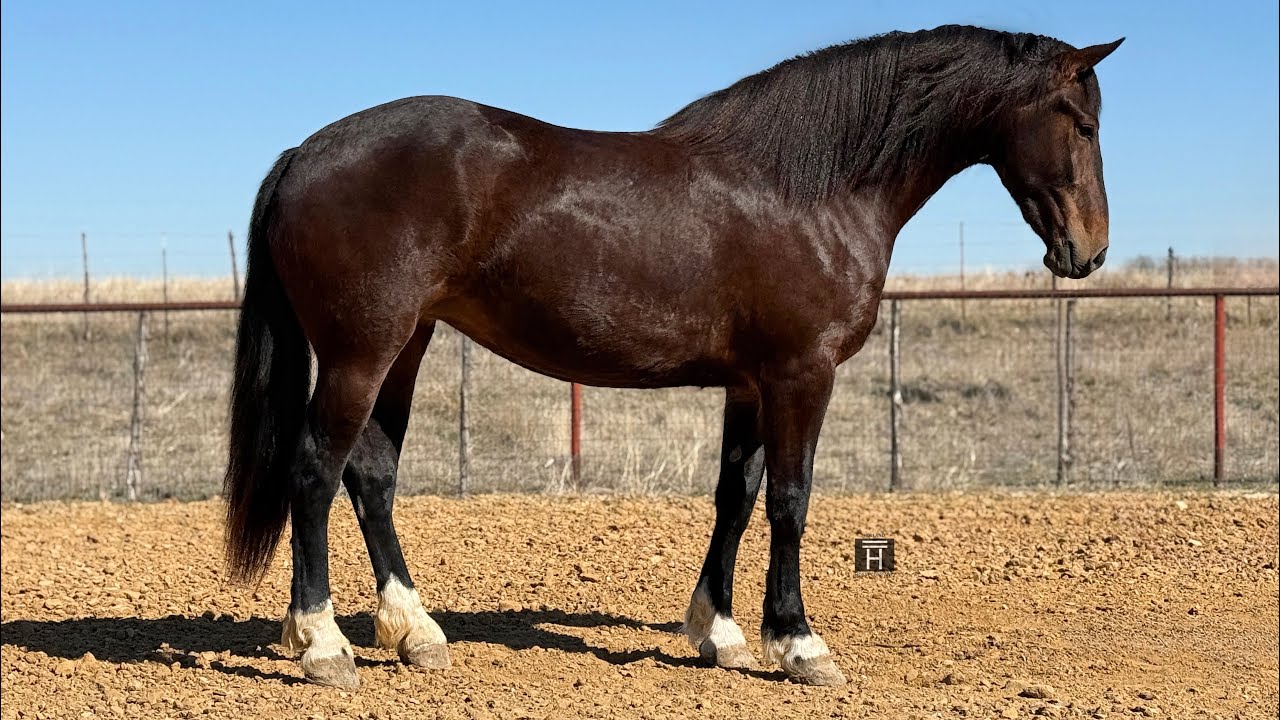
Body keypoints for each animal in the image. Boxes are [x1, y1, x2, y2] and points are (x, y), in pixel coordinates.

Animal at [223, 25, 1122, 689]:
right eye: (1081, 123)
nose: (1089, 251)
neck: (811, 188)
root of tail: (304, 154)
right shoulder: (802, 374)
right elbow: (790, 501)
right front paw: (799, 645)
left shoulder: (751, 384)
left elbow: (736, 496)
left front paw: (719, 633)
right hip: (360, 351)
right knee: (315, 471)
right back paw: (323, 645)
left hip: (404, 344)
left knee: (372, 473)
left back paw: (415, 632)